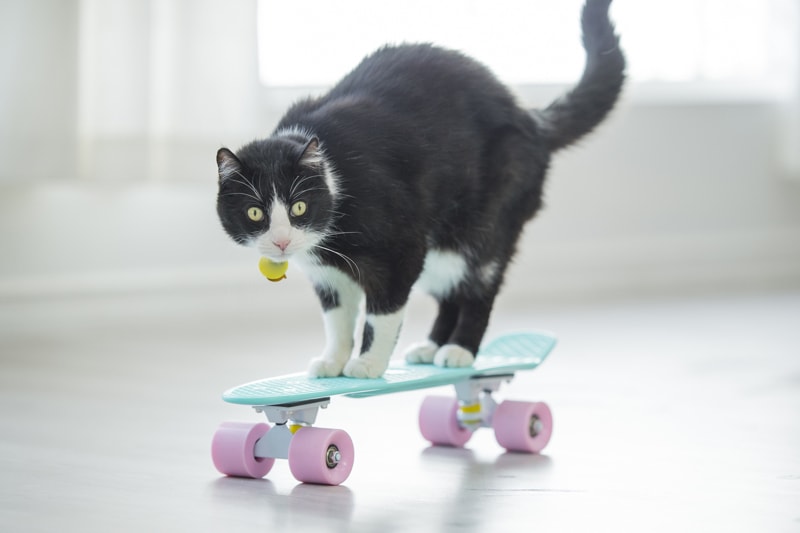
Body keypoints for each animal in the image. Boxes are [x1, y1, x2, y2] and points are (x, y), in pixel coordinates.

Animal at [214, 0, 624, 378]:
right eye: (255, 212)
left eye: (298, 206)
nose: (282, 241)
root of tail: (531, 119)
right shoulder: (327, 274)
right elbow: (337, 319)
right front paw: (332, 361)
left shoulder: (401, 247)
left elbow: (383, 312)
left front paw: (368, 364)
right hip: (439, 241)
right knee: (449, 289)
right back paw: (432, 346)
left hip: (486, 219)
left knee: (479, 284)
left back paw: (459, 349)